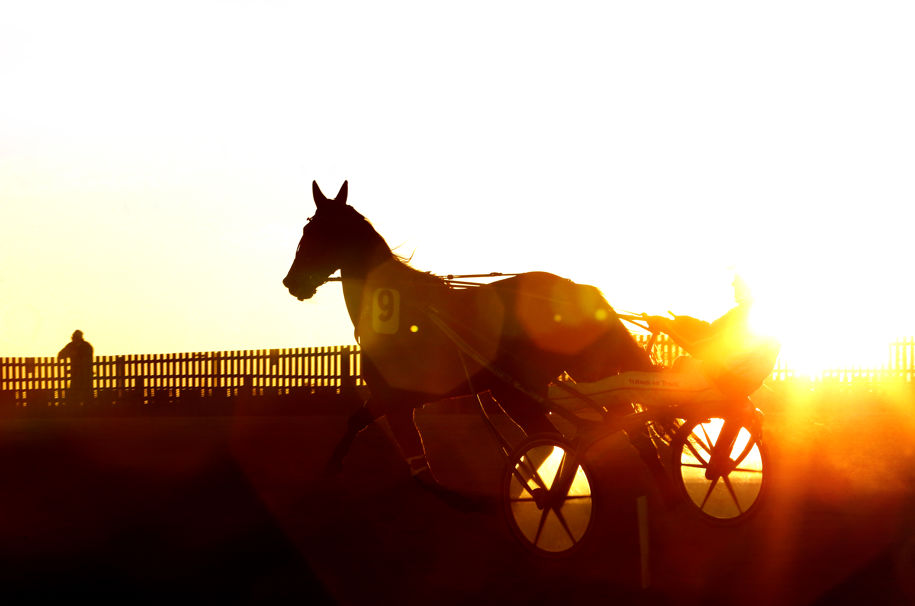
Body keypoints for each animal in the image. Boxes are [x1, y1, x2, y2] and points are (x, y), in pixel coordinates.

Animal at [283, 181, 658, 505]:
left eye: (319, 233)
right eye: (305, 230)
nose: (291, 282)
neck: (394, 305)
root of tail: (578, 289)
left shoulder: (397, 398)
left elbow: (414, 456)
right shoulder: (390, 397)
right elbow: (357, 422)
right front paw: (329, 472)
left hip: (520, 390)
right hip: (574, 376)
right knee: (621, 427)